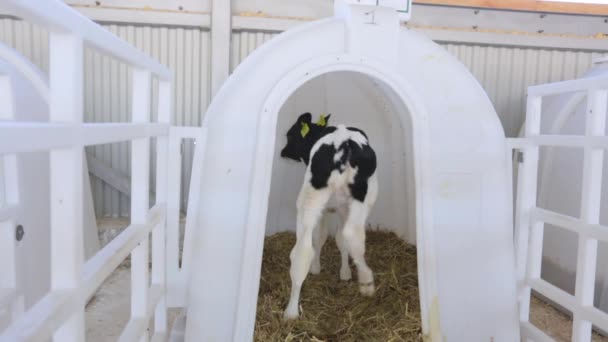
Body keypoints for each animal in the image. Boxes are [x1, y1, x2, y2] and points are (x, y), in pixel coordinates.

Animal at [282, 112, 380, 320]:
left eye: (290, 135)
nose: (283, 152)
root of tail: (344, 145)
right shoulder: (341, 209)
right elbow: (340, 240)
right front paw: (345, 273)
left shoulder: (326, 210)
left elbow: (322, 239)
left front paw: (319, 269)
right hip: (364, 197)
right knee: (353, 234)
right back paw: (366, 280)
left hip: (309, 200)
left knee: (302, 250)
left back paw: (291, 312)